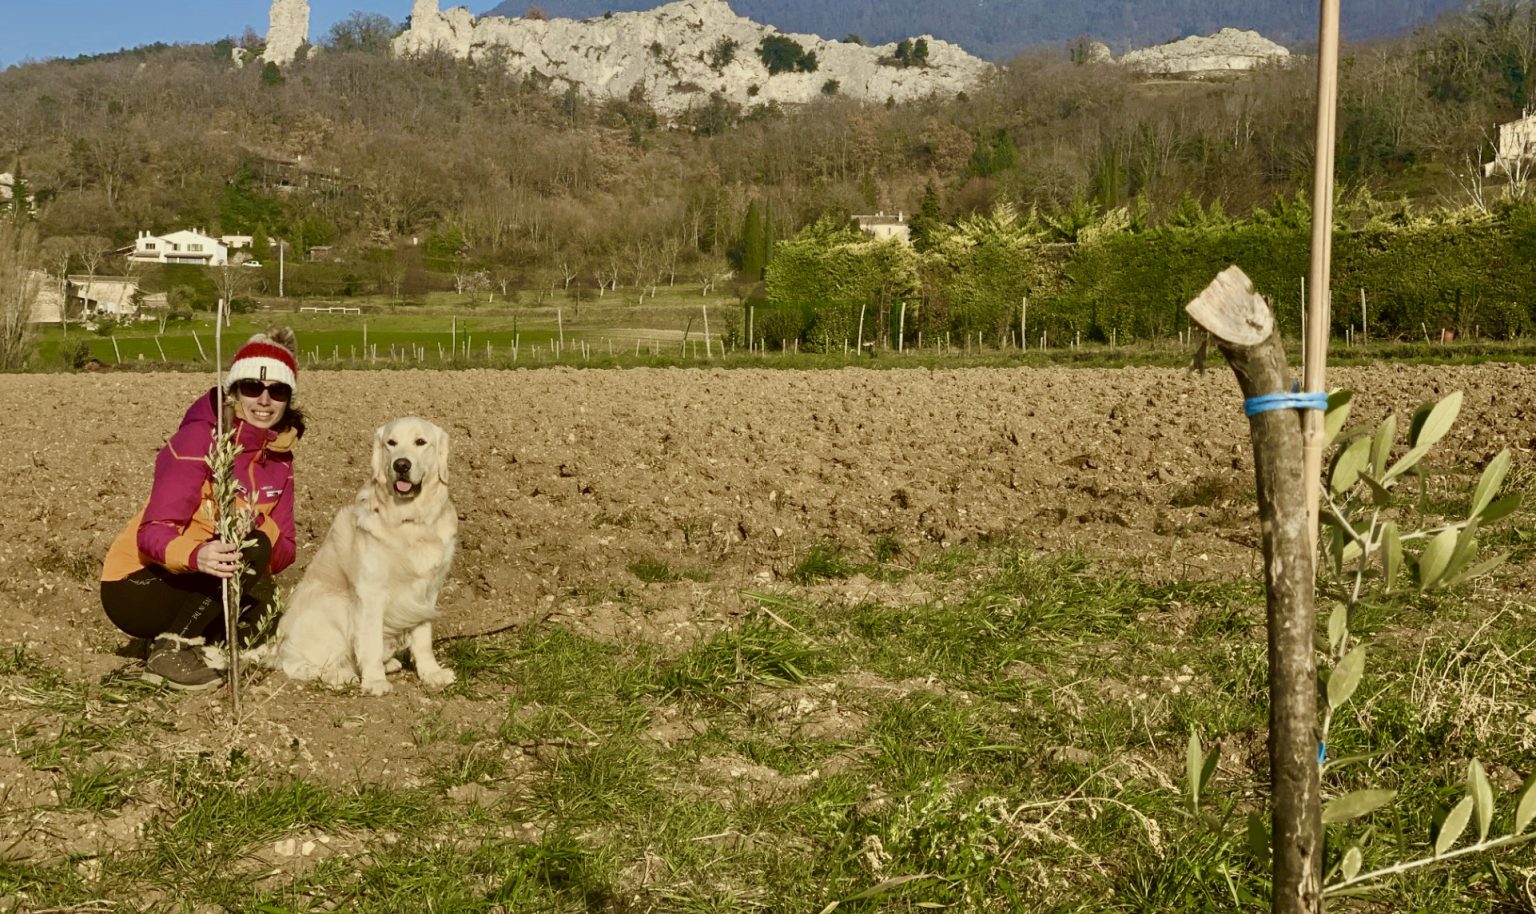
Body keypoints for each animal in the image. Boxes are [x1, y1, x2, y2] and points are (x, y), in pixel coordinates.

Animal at [276, 417, 457, 694]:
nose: (401, 464)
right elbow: (370, 641)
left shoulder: (427, 591)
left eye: (420, 441)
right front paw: (374, 681)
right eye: (391, 443)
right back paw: (341, 676)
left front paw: (431, 673)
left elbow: (423, 637)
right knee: (298, 665)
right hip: (335, 602)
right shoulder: (371, 591)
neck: (409, 521)